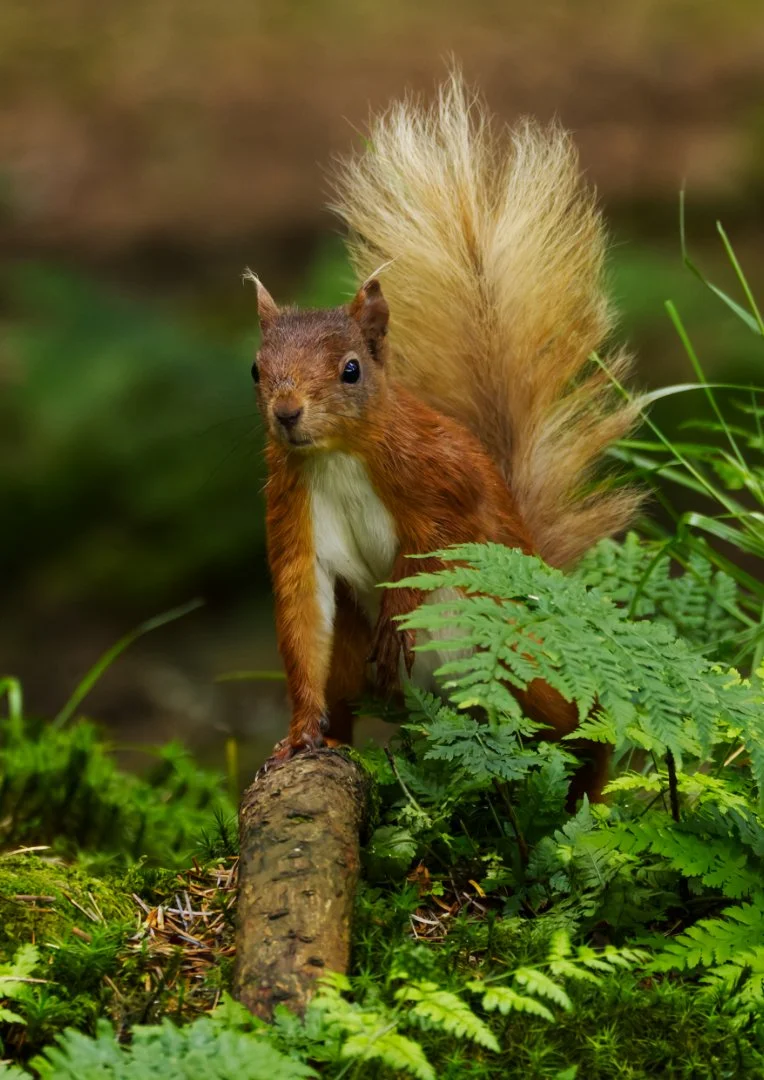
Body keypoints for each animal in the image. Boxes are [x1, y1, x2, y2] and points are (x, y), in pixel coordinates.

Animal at [249, 72, 639, 802]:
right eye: (256, 370)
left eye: (351, 369)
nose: (286, 413)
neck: (339, 457)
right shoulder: (293, 510)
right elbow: (303, 611)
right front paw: (299, 737)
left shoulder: (437, 469)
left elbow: (440, 537)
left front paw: (403, 595)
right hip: (364, 659)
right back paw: (341, 739)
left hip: (517, 653)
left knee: (576, 725)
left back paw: (586, 779)